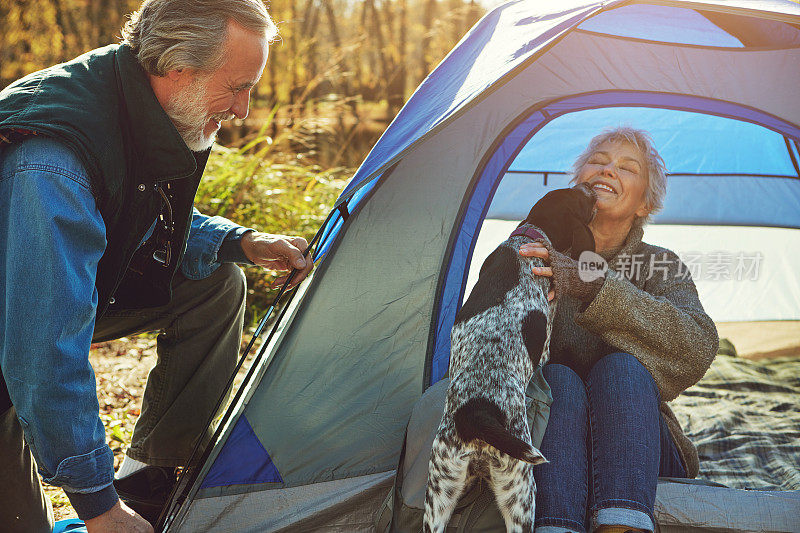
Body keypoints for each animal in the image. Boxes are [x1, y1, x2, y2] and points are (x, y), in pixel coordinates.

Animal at [422, 185, 596, 528]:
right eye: (580, 197)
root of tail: (476, 413)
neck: (528, 237)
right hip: (520, 492)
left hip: (440, 494)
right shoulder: (545, 342)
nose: (593, 192)